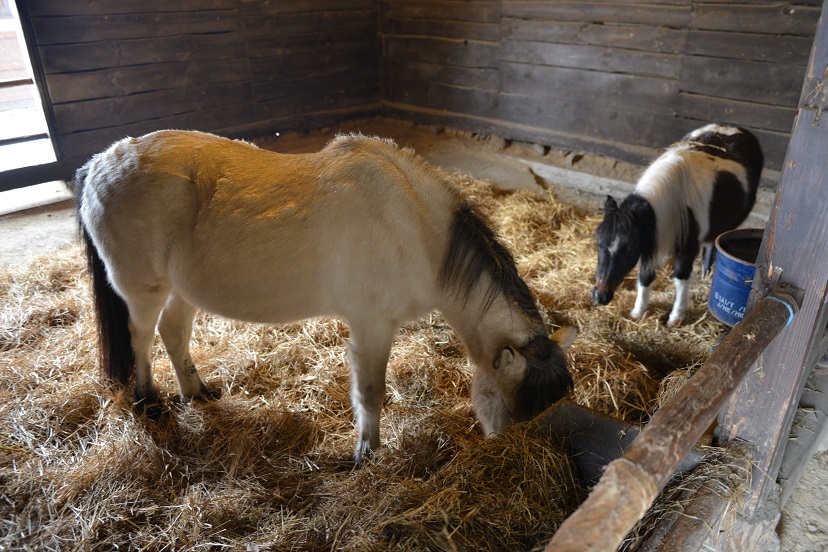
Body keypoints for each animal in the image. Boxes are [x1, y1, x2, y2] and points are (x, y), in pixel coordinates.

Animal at [76, 132, 576, 464]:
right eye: (512, 409)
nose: (503, 455)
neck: (416, 227)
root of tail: (99, 162)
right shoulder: (372, 326)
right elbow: (370, 392)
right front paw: (367, 452)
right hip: (144, 289)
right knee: (141, 337)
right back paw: (148, 401)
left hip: (184, 289)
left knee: (174, 332)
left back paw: (197, 394)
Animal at [592, 123, 760, 326]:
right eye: (599, 243)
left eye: (629, 250)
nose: (600, 296)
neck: (674, 200)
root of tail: (733, 128)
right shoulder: (649, 240)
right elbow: (645, 277)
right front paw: (638, 311)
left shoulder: (686, 249)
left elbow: (680, 278)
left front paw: (675, 317)